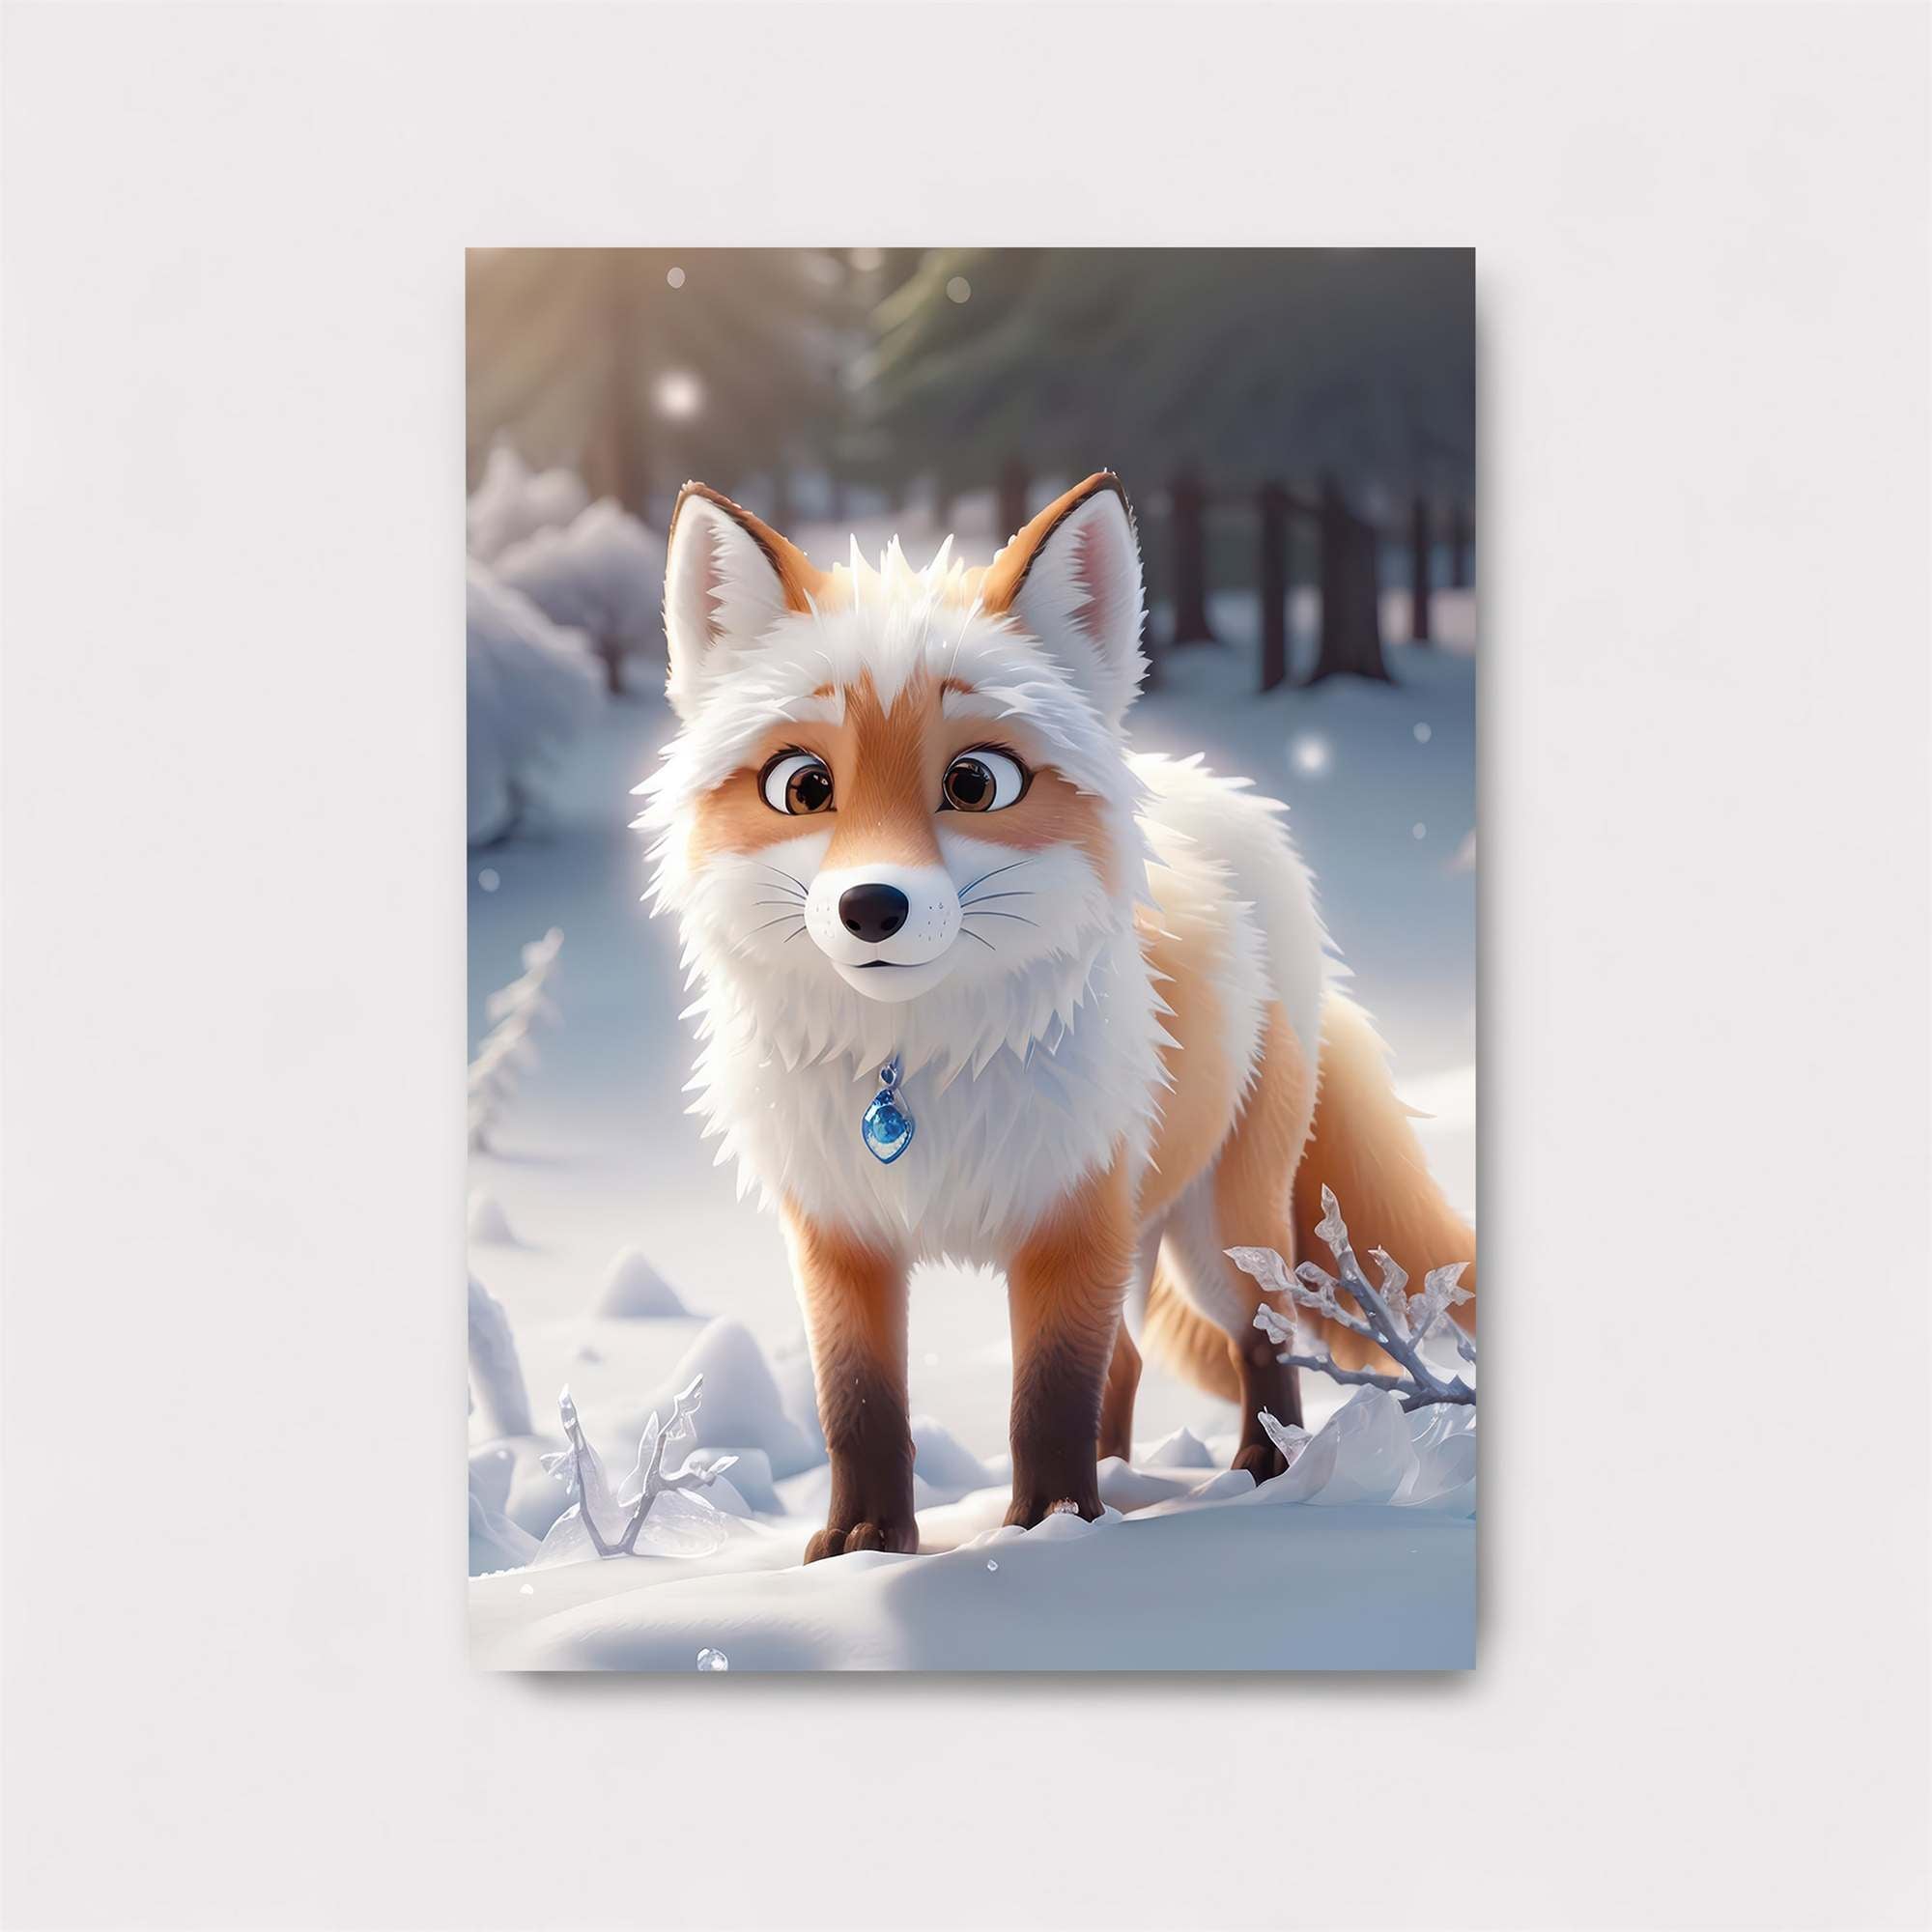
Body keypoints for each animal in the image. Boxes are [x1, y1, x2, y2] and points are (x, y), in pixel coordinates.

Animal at [640, 471, 1474, 1560]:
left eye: (974, 782)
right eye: (803, 786)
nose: (870, 906)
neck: (914, 1070)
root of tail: (1230, 807)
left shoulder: (1069, 1214)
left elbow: (1048, 1394)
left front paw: (1046, 1531)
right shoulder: (840, 1231)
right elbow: (859, 1406)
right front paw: (865, 1542)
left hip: (1216, 1234)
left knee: (1262, 1341)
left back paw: (1260, 1475)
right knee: (1130, 1361)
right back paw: (1122, 1479)